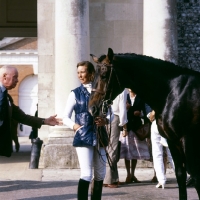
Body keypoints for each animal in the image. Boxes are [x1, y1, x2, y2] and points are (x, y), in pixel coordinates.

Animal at [88, 47, 200, 199]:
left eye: (104, 74)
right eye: (94, 75)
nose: (92, 108)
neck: (173, 92)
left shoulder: (188, 141)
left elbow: (195, 177)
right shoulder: (173, 141)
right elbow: (180, 175)